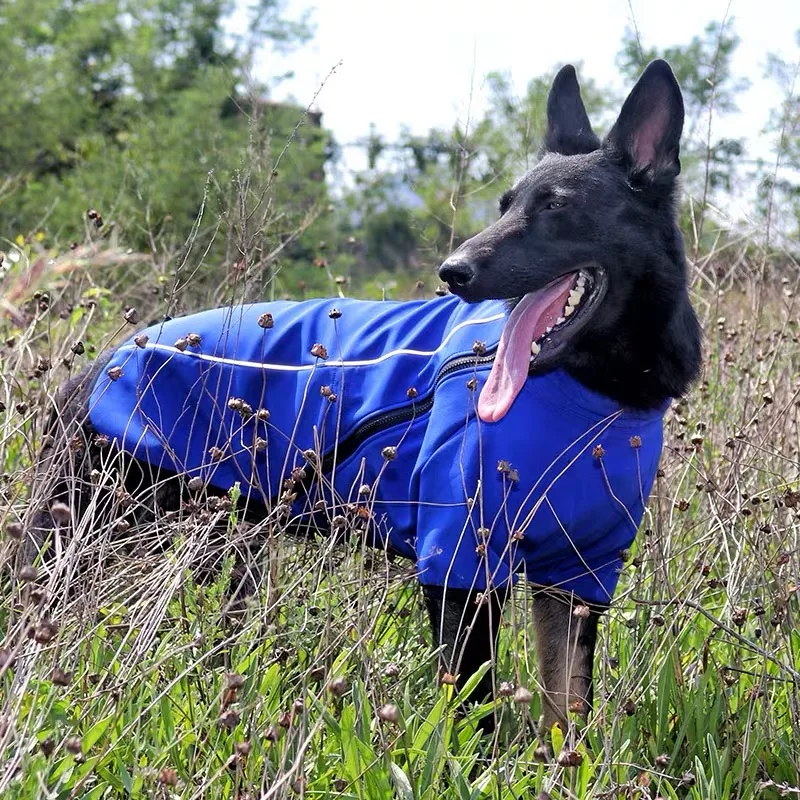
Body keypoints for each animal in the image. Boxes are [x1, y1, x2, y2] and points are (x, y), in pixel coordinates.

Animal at [26, 61, 700, 736]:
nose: (451, 272)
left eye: (557, 206)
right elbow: (473, 714)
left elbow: (569, 709)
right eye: (506, 205)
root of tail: (93, 372)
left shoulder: (577, 580)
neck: (594, 394)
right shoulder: (461, 569)